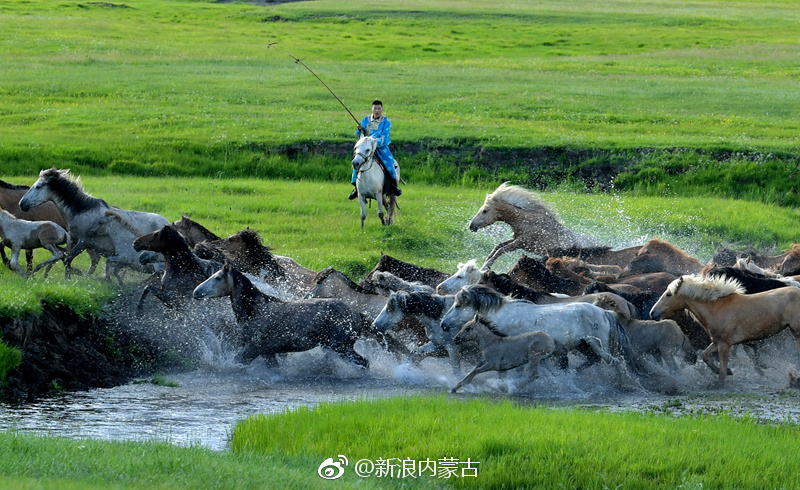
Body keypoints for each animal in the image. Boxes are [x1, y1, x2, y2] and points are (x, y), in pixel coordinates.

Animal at [19, 168, 170, 279]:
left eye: (38, 186)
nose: (22, 204)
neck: (82, 212)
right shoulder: (73, 240)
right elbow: (63, 257)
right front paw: (47, 275)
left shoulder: (83, 242)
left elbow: (67, 258)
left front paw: (68, 278)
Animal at [193, 262, 370, 367]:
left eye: (217, 277)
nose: (196, 292)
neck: (256, 311)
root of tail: (356, 313)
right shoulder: (267, 353)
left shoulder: (252, 349)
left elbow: (237, 363)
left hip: (342, 348)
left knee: (364, 362)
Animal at [441, 285, 639, 373]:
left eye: (458, 305)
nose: (443, 324)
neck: (504, 316)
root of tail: (605, 312)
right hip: (584, 345)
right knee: (594, 360)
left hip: (598, 345)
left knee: (610, 361)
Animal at [467, 182, 606, 269]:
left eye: (485, 210)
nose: (471, 226)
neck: (526, 221)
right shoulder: (517, 239)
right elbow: (497, 247)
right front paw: (485, 264)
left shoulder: (520, 242)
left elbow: (500, 250)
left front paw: (485, 267)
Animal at [650, 274, 800, 386]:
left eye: (668, 294)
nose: (652, 313)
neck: (716, 308)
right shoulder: (717, 342)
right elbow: (705, 356)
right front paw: (728, 371)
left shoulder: (725, 345)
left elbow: (721, 370)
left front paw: (719, 383)